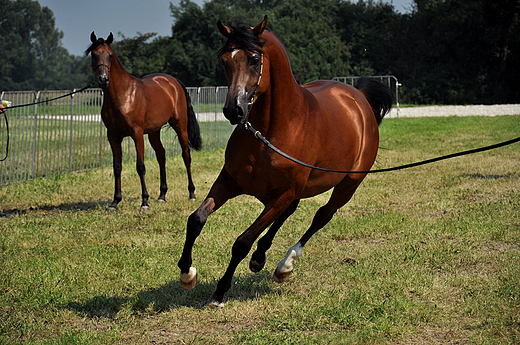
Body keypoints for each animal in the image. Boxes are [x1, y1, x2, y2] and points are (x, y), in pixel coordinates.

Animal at [87, 33, 201, 210]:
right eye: (93, 54)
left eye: (110, 55)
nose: (103, 79)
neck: (123, 95)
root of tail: (173, 82)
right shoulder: (113, 136)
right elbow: (117, 167)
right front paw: (115, 201)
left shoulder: (137, 134)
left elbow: (140, 166)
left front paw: (145, 202)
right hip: (154, 132)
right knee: (161, 155)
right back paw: (162, 195)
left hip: (180, 126)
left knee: (186, 156)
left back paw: (191, 193)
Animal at [177, 16, 392, 306]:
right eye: (224, 60)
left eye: (254, 58)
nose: (234, 110)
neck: (271, 131)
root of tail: (358, 98)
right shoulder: (230, 181)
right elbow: (196, 219)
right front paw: (187, 273)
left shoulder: (284, 192)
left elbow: (242, 242)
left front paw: (220, 292)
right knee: (288, 214)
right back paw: (260, 258)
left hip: (347, 185)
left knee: (321, 216)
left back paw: (285, 264)